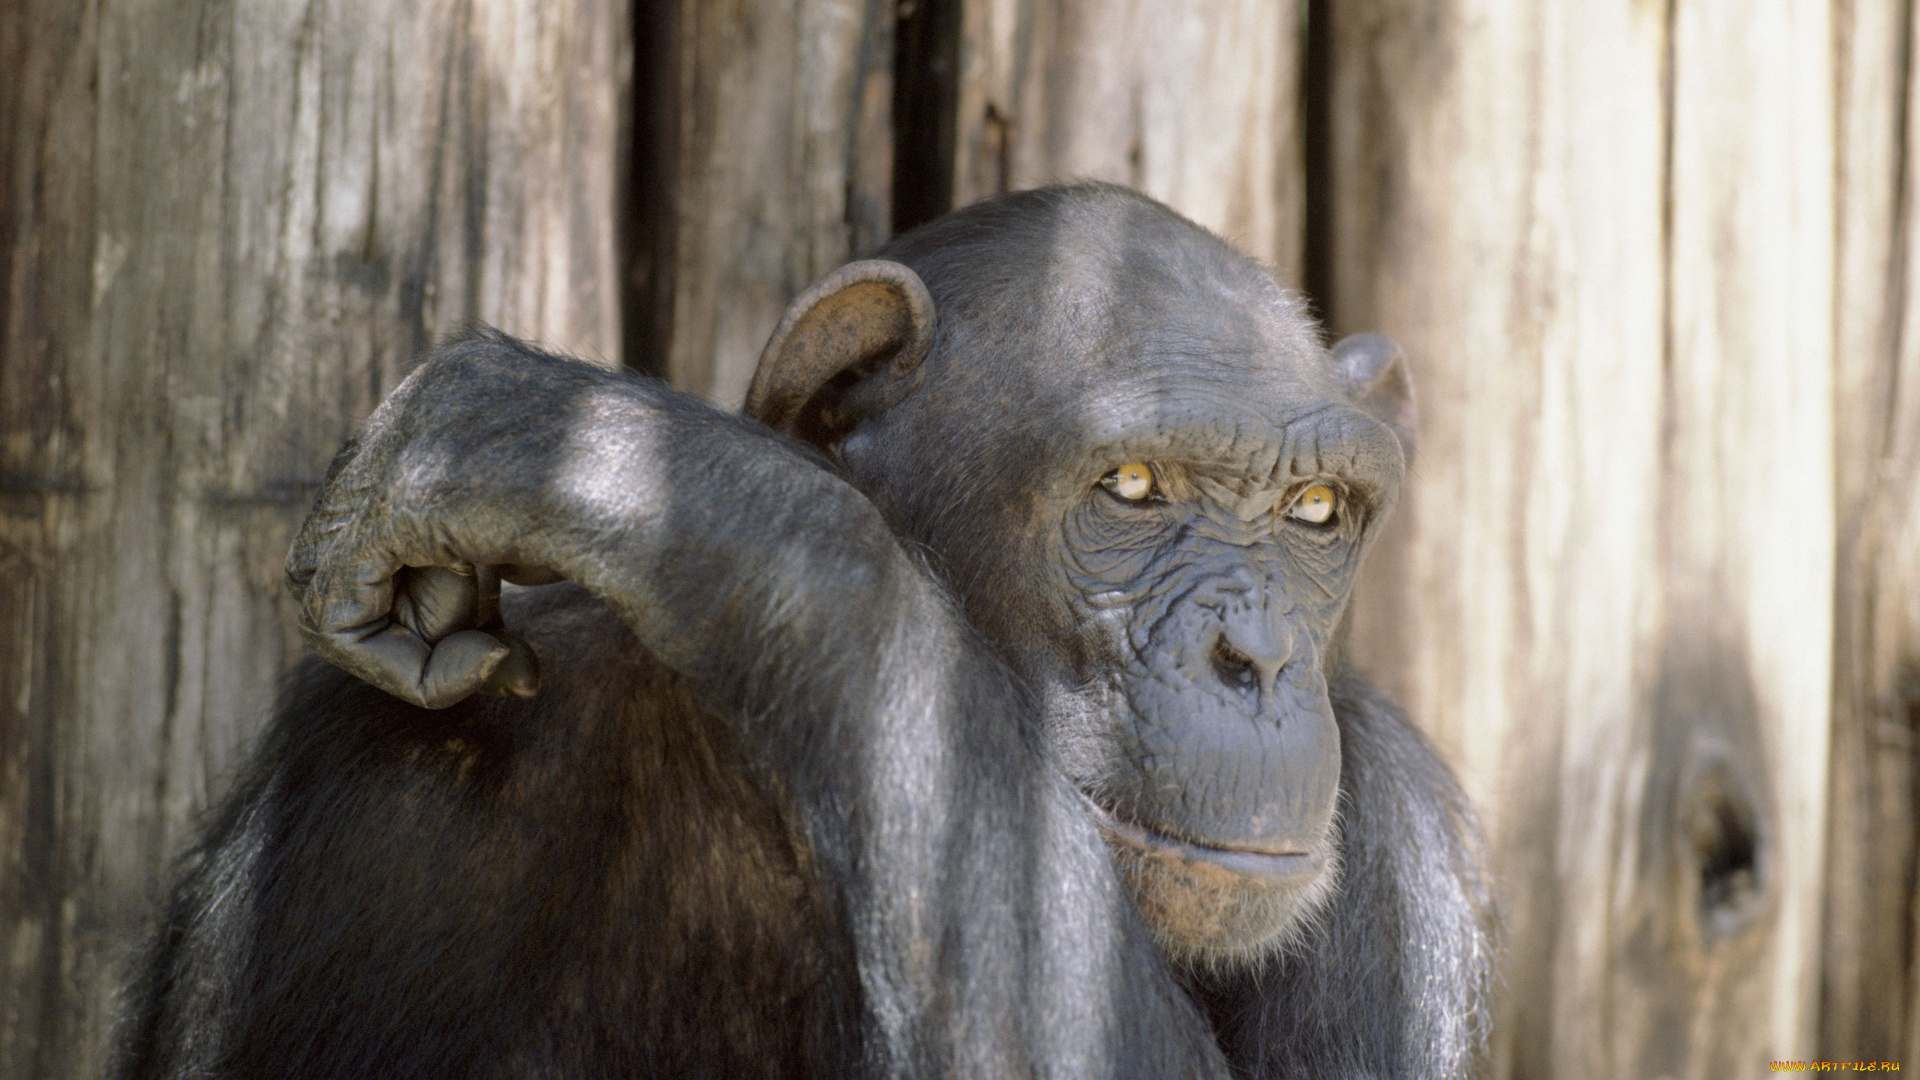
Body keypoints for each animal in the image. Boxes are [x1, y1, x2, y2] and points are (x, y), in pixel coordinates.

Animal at [116, 184, 1497, 1076]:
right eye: (1133, 488)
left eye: (1315, 512)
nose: (1254, 658)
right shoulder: (371, 799)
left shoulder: (1400, 856)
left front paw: (618, 455)